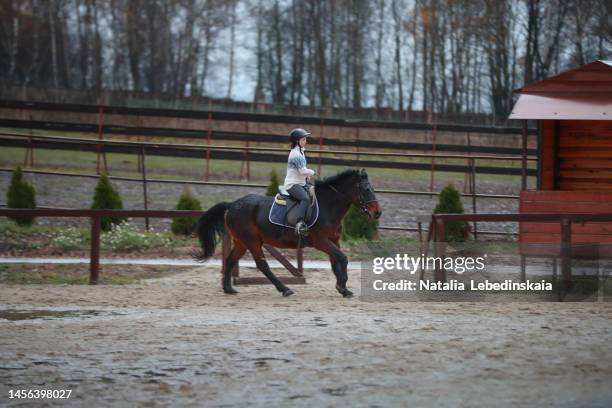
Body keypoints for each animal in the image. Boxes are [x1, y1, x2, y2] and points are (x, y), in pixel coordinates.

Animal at [196, 168, 380, 296]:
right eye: (366, 189)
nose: (377, 213)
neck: (328, 206)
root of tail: (232, 204)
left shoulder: (333, 240)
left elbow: (336, 262)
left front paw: (343, 289)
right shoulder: (320, 241)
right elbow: (343, 258)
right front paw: (342, 285)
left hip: (242, 242)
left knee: (230, 260)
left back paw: (228, 288)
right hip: (252, 241)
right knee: (262, 265)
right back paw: (284, 289)